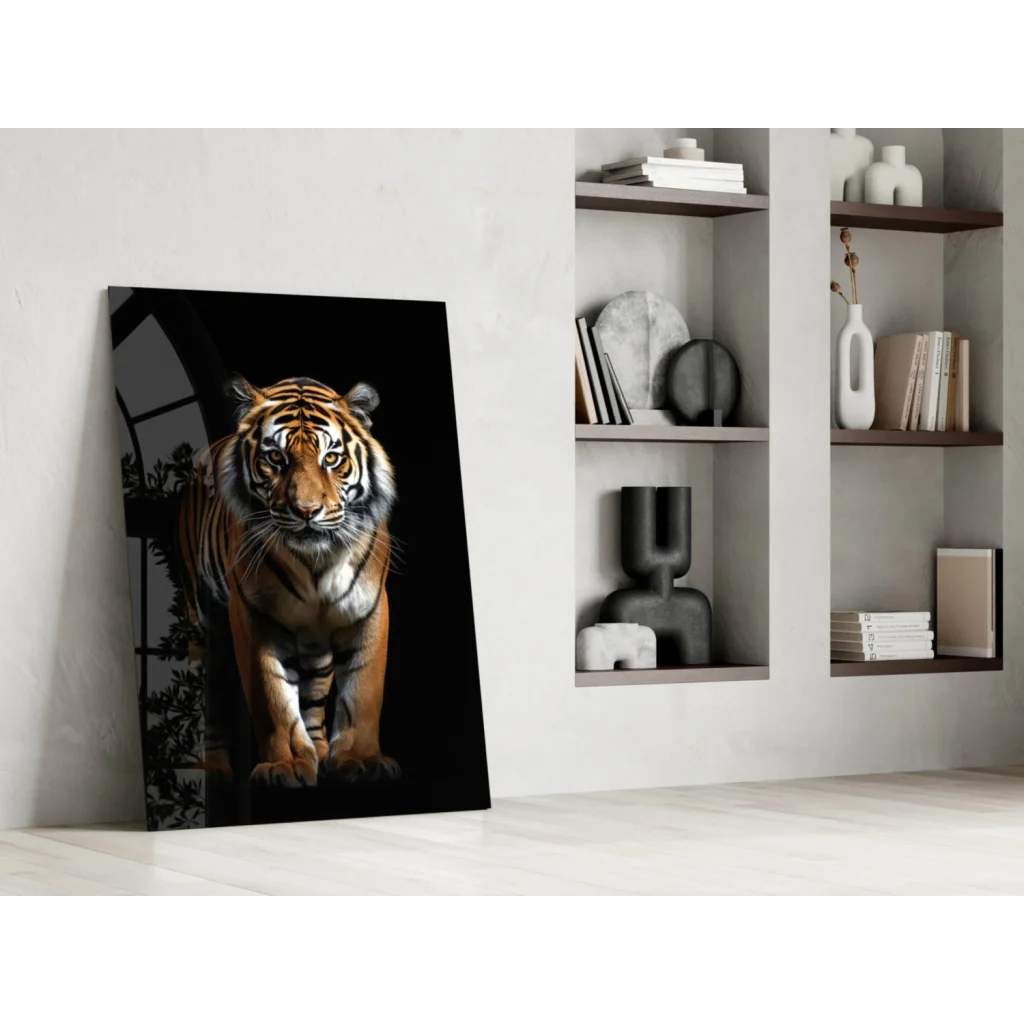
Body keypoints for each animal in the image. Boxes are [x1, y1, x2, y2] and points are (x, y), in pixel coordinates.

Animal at [178, 375, 398, 788]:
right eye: (275, 458)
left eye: (331, 459)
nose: (307, 511)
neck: (317, 563)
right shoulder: (252, 614)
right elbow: (272, 696)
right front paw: (287, 765)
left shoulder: (369, 607)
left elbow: (363, 690)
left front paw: (361, 760)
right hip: (203, 620)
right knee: (213, 692)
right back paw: (214, 768)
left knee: (313, 692)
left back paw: (321, 752)